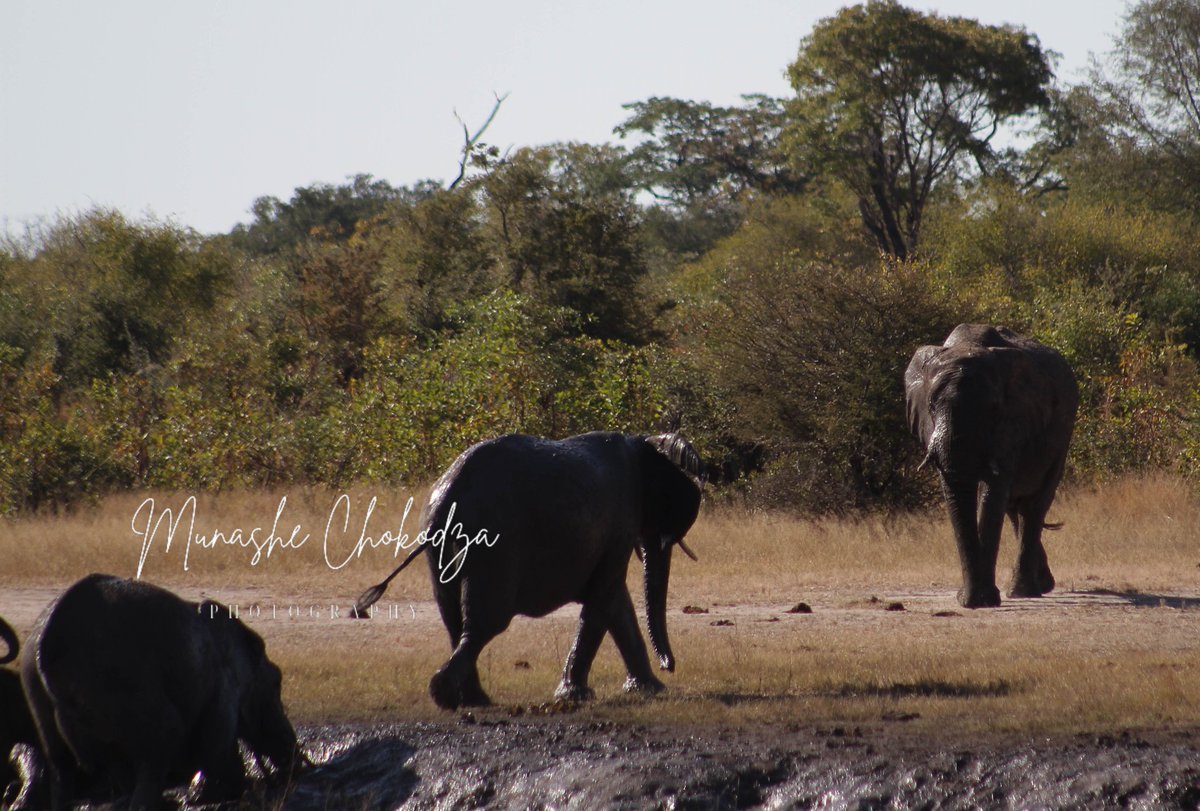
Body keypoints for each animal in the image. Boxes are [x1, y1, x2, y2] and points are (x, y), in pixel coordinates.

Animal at [21, 574, 301, 811]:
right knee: (160, 746)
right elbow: (216, 749)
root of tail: (44, 656)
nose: (290, 774)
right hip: (120, 683)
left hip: (35, 687)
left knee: (61, 768)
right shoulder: (224, 682)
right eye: (277, 682)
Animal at [355, 431, 705, 710]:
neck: (643, 444)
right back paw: (447, 695)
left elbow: (615, 601)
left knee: (454, 619)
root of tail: (447, 498)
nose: (670, 666)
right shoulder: (621, 521)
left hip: (441, 547)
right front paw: (574, 696)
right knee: (485, 622)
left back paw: (472, 700)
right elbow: (604, 598)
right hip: (495, 545)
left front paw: (649, 690)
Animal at [905, 324, 1079, 608]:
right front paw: (973, 600)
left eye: (994, 408)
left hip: (1063, 436)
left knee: (1034, 505)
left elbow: (992, 494)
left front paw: (982, 600)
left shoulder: (1013, 423)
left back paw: (1024, 591)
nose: (965, 598)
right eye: (931, 405)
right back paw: (1041, 584)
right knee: (1015, 506)